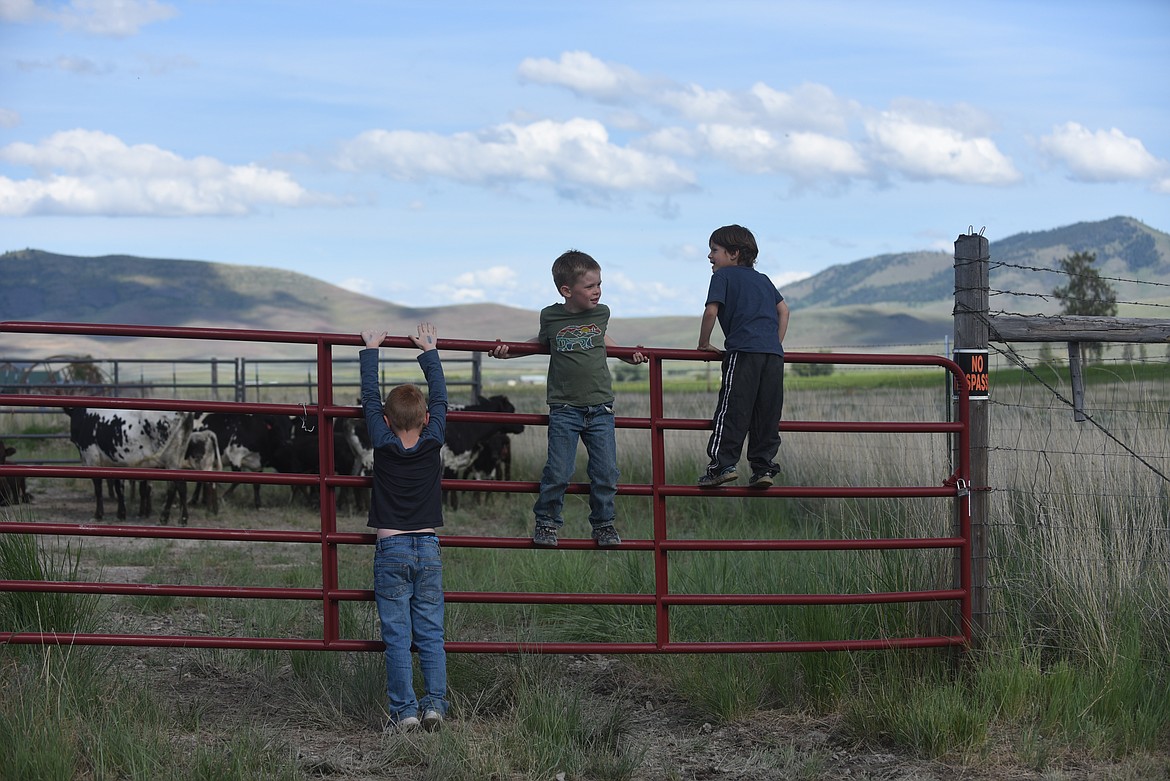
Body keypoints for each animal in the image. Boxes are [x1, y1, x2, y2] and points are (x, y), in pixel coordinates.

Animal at [65, 409, 195, 523]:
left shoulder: (91, 457)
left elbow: (98, 488)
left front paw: (98, 515)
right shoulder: (116, 463)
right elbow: (119, 488)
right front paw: (121, 514)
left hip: (170, 460)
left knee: (176, 487)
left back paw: (171, 518)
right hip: (176, 459)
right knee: (178, 487)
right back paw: (177, 518)